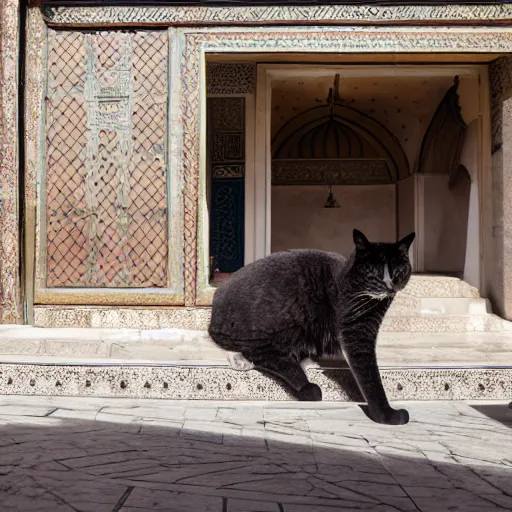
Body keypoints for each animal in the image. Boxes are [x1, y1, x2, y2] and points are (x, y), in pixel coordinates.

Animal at [208, 230, 416, 426]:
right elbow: (370, 376)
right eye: (374, 271)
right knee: (260, 352)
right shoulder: (355, 331)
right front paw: (388, 415)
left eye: (399, 270)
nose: (390, 285)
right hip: (287, 315)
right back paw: (303, 384)